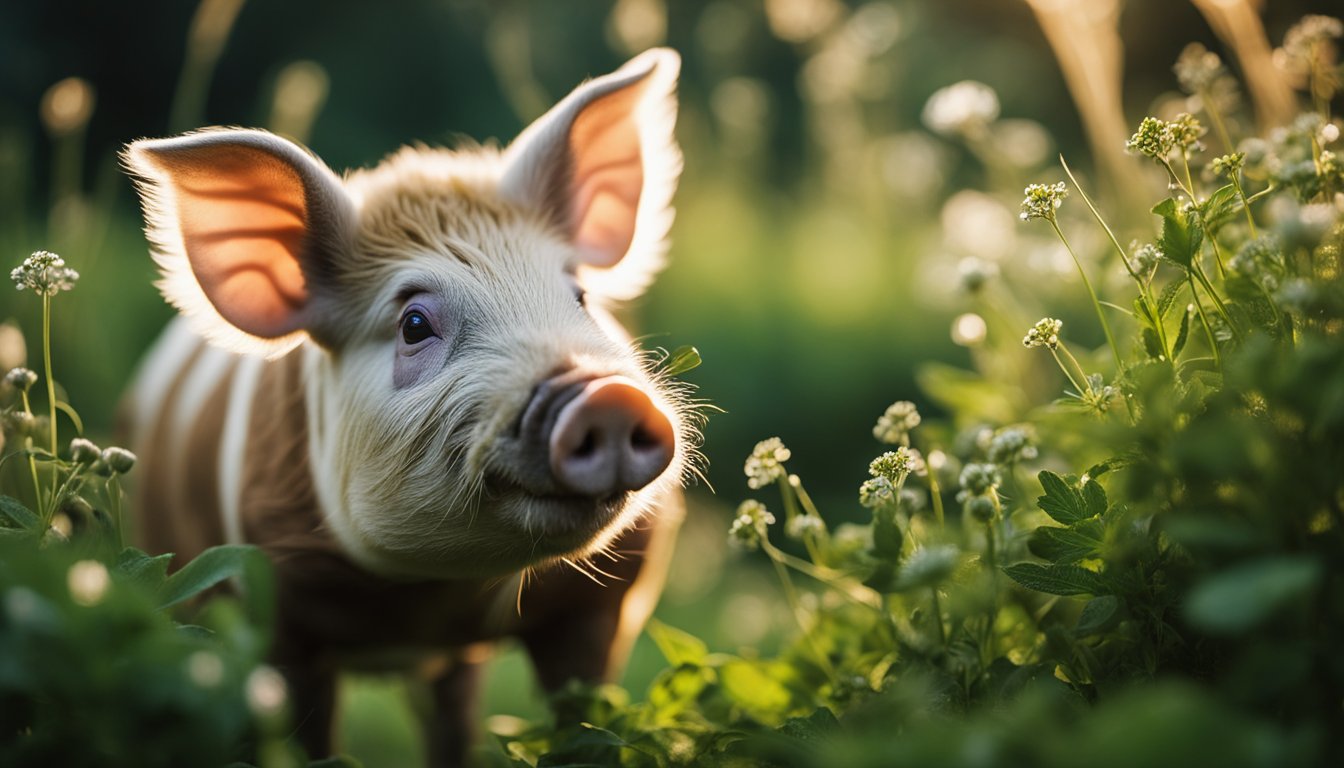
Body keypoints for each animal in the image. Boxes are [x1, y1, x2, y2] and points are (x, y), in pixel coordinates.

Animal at [118, 51, 693, 763]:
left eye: (580, 296)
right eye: (414, 323)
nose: (605, 396)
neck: (439, 600)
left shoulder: (602, 605)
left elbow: (587, 716)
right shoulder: (275, 615)